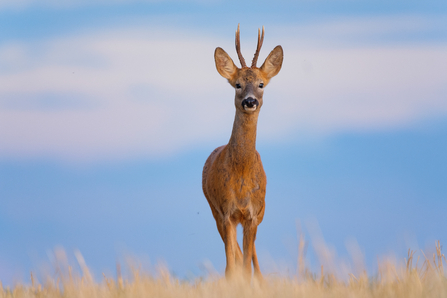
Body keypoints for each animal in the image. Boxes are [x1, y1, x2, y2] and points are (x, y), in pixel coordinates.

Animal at [202, 25, 284, 280]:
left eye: (261, 84)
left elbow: (247, 264)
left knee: (251, 255)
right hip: (214, 210)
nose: (250, 101)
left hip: (260, 213)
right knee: (235, 255)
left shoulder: (253, 214)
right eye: (237, 84)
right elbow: (232, 265)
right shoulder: (226, 212)